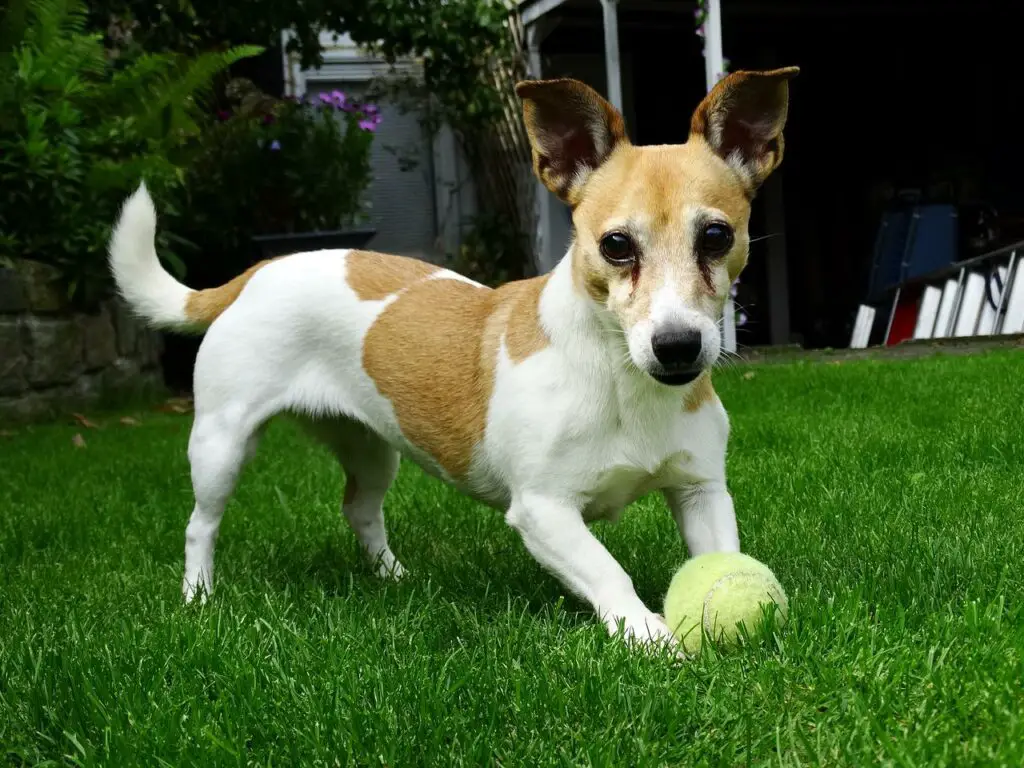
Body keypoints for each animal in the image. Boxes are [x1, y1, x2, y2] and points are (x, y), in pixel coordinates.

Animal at [110, 66, 798, 651]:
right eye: (616, 245)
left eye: (717, 236)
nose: (677, 345)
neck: (623, 381)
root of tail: (259, 270)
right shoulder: (543, 512)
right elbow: (609, 572)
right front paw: (651, 636)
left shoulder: (701, 491)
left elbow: (722, 555)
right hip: (221, 445)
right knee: (201, 525)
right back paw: (199, 596)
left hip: (371, 447)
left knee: (359, 509)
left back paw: (393, 576)